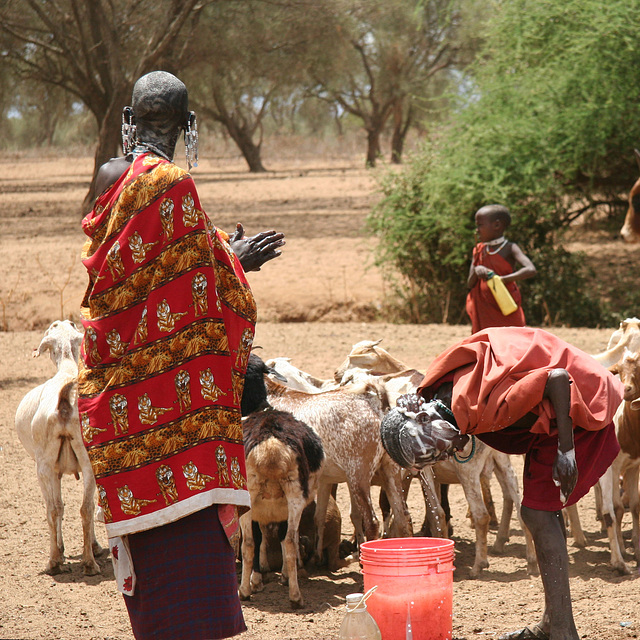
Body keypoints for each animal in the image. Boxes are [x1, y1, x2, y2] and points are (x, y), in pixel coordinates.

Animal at [14, 320, 102, 576]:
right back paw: (89, 562)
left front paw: (62, 551)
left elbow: (59, 507)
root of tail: (64, 403)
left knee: (53, 509)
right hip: (85, 460)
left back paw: (54, 561)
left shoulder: (53, 469)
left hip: (43, 466)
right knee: (84, 508)